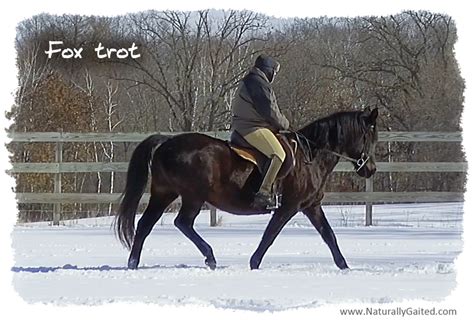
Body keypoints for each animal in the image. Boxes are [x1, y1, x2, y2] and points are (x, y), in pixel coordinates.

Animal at [115, 107, 378, 270]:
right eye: (369, 137)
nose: (371, 169)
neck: (310, 156)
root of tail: (167, 142)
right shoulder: (289, 207)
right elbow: (269, 235)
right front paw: (254, 263)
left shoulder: (311, 206)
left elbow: (329, 235)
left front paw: (344, 266)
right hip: (193, 196)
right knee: (182, 223)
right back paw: (210, 257)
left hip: (163, 193)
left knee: (145, 225)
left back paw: (133, 264)